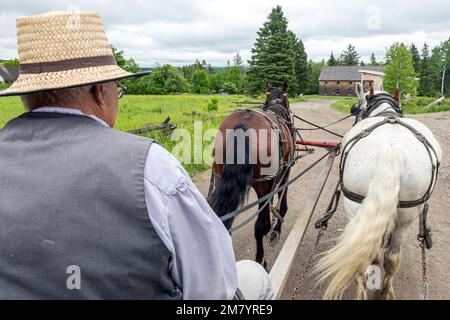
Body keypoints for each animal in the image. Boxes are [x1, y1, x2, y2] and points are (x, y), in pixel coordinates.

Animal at [210, 81, 296, 266]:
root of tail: (243, 125)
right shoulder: (285, 172)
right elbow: (282, 204)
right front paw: (277, 229)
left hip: (220, 177)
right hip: (264, 185)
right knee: (261, 225)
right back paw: (260, 259)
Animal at [314, 83, 442, 300]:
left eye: (355, 108)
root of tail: (391, 150)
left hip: (358, 208)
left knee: (371, 257)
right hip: (407, 215)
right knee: (392, 257)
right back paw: (384, 291)